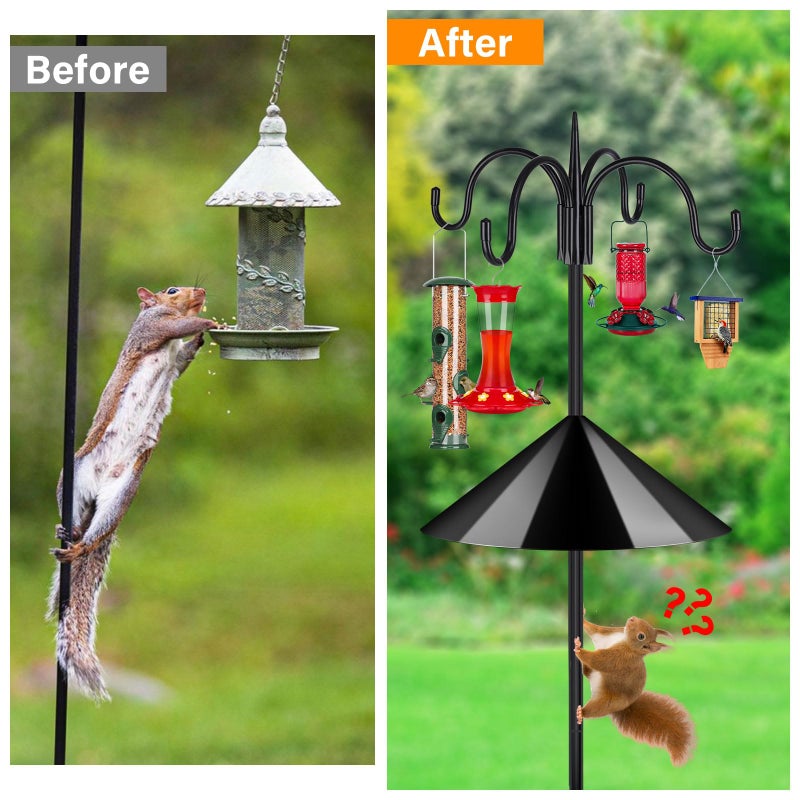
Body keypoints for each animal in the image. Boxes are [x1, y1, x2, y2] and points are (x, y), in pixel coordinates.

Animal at [46, 286, 218, 701]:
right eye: (171, 290)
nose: (201, 291)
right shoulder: (150, 329)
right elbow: (173, 329)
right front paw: (205, 323)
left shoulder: (175, 361)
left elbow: (182, 359)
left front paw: (199, 339)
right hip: (72, 475)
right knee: (75, 516)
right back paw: (67, 534)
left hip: (123, 491)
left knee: (95, 534)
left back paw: (79, 544)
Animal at [574, 615, 697, 766]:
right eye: (645, 622)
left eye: (641, 636)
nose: (632, 618)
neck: (625, 641)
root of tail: (624, 707)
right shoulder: (608, 634)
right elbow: (596, 630)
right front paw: (584, 618)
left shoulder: (619, 659)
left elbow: (599, 660)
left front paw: (579, 650)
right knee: (588, 671)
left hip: (608, 702)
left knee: (594, 709)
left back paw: (581, 713)